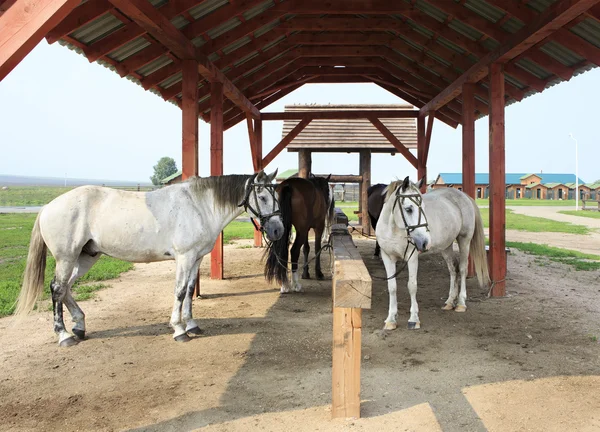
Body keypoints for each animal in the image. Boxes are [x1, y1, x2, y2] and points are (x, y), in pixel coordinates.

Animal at [15, 170, 284, 346]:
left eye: (276, 196)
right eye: (262, 197)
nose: (278, 230)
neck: (199, 206)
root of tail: (48, 206)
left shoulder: (196, 259)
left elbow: (189, 291)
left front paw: (192, 325)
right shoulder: (184, 258)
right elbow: (179, 291)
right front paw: (179, 330)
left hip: (86, 257)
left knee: (67, 288)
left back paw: (79, 327)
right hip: (66, 257)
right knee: (57, 288)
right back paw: (64, 336)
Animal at [378, 176, 490, 330]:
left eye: (424, 208)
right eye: (408, 209)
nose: (425, 242)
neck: (393, 230)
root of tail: (464, 196)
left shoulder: (412, 258)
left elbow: (412, 286)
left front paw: (414, 319)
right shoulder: (387, 258)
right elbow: (392, 287)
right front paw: (390, 320)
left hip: (464, 240)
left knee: (462, 269)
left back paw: (461, 303)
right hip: (446, 247)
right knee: (452, 270)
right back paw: (449, 302)